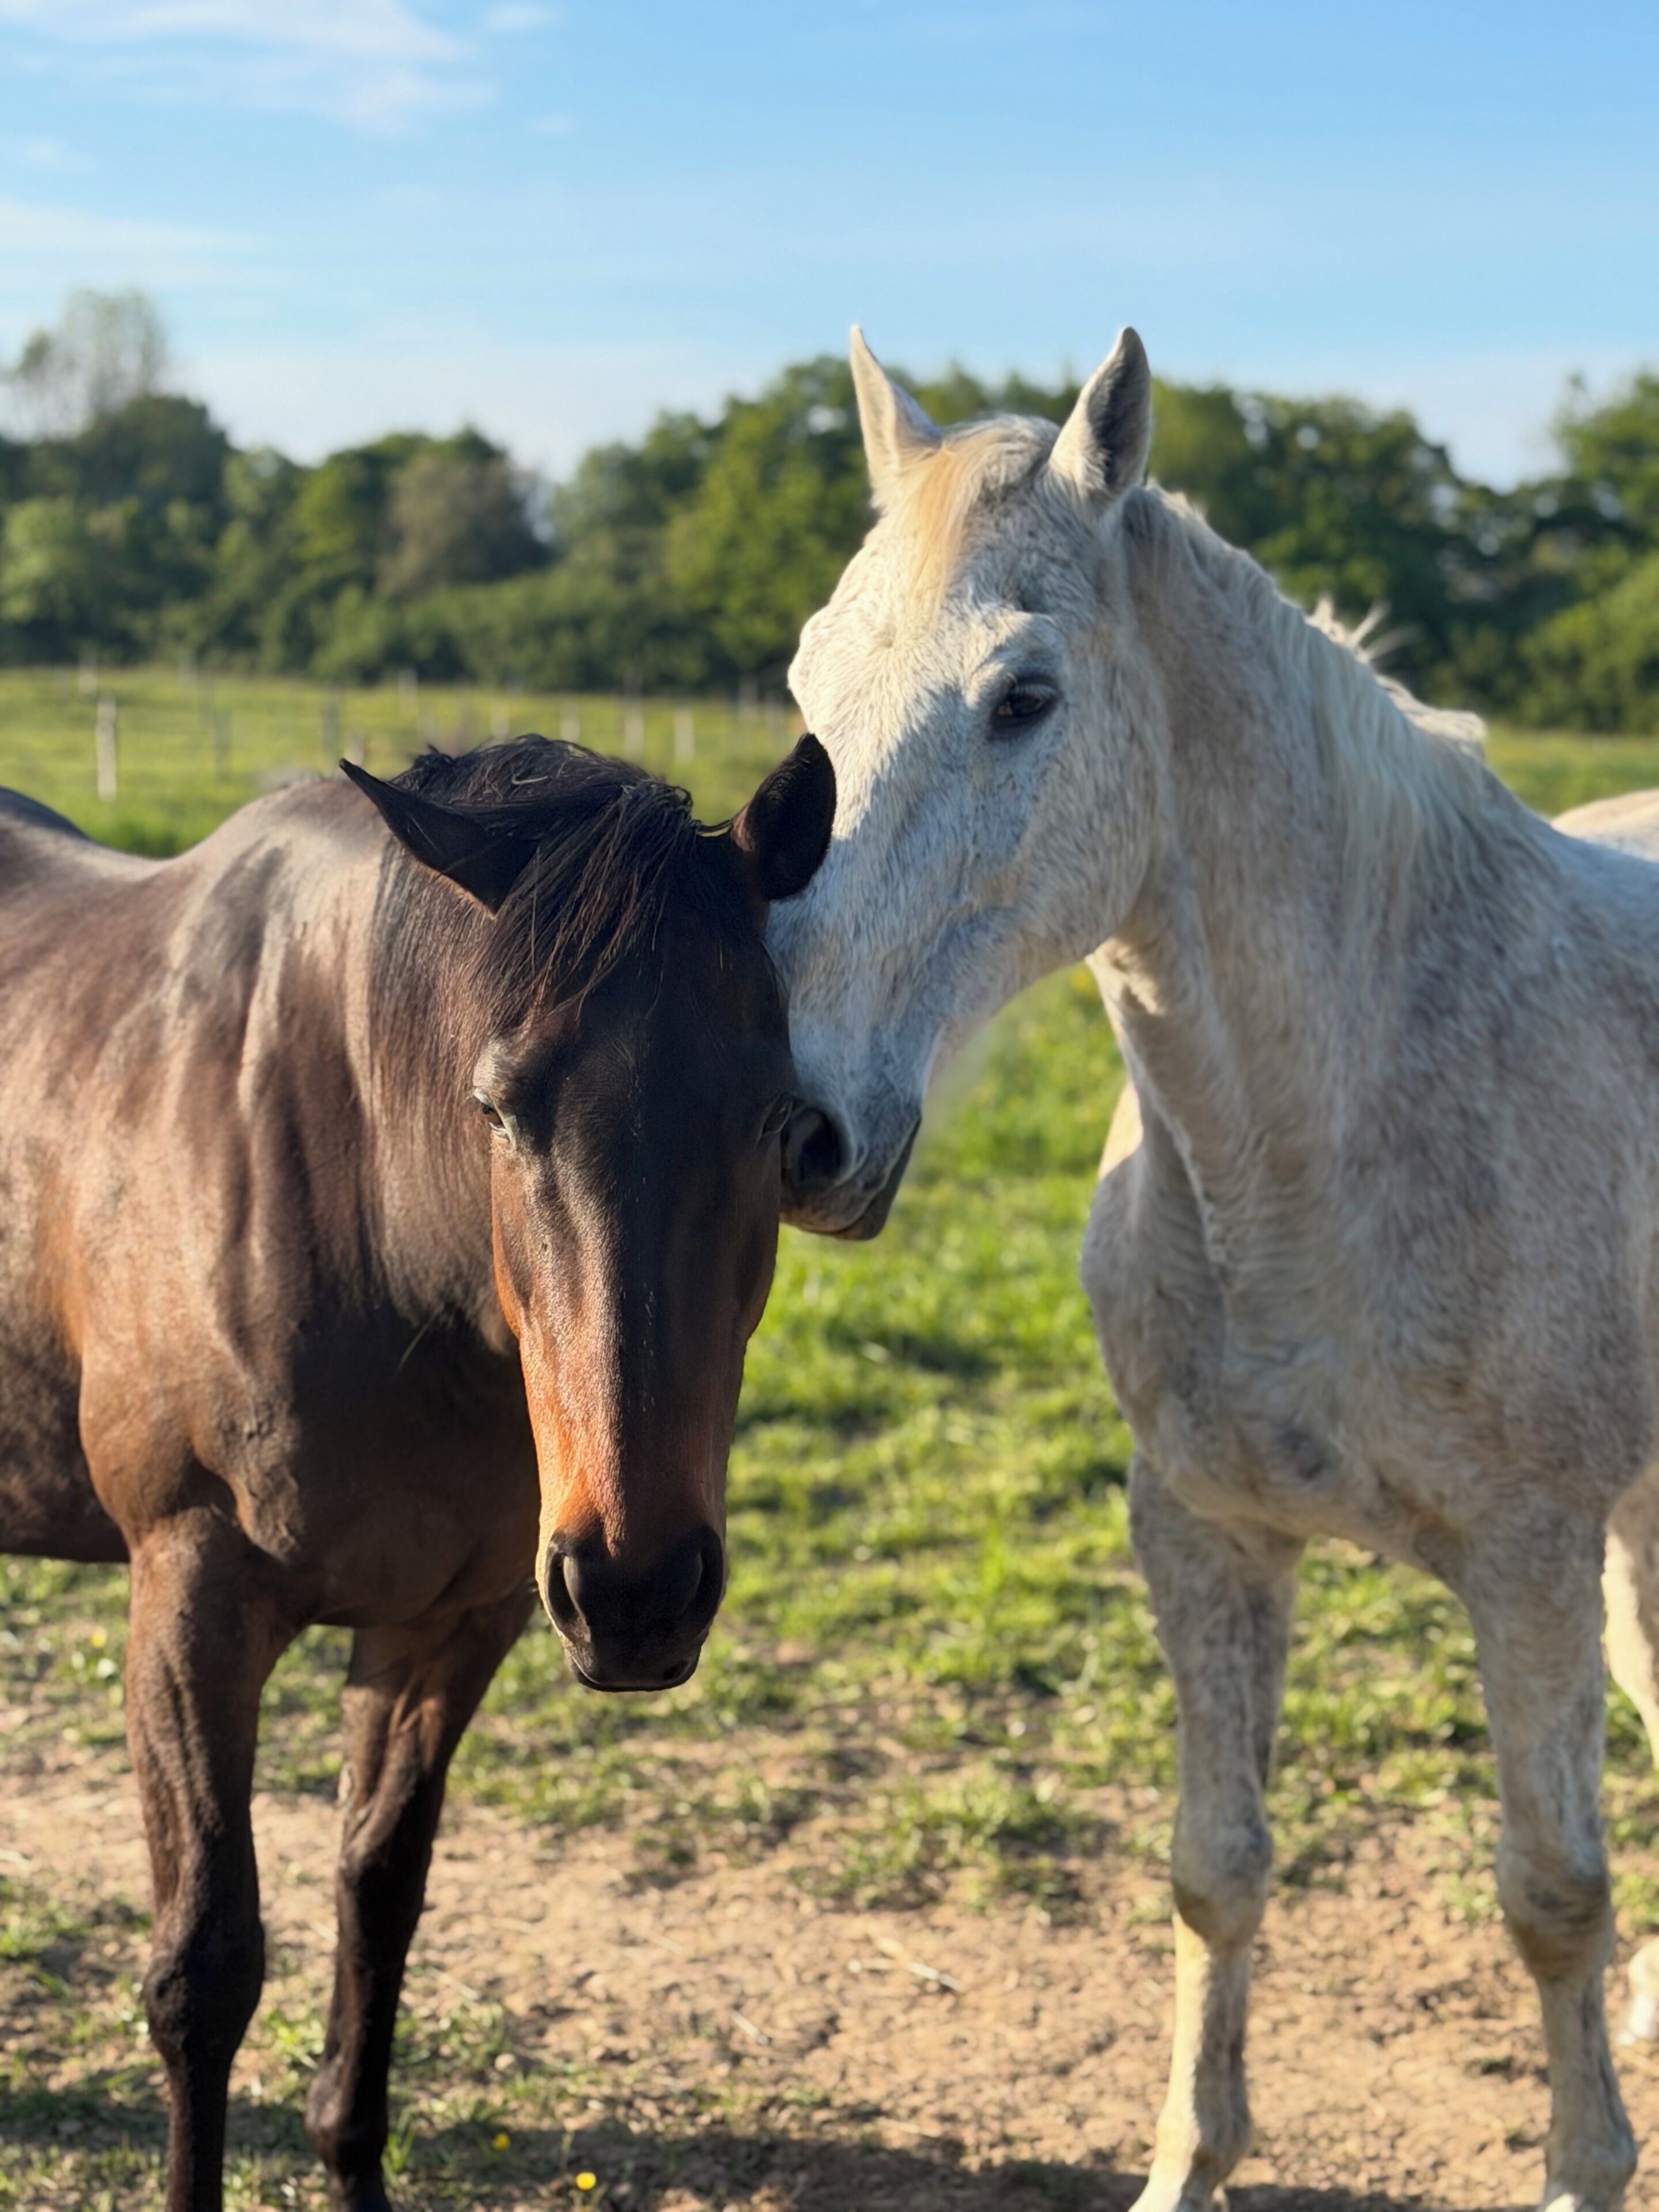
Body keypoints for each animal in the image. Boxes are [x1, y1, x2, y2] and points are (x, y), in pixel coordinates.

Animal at [0, 729, 835, 2212]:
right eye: (499, 1107)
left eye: (777, 1118)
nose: (637, 1591)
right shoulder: (191, 1601)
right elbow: (203, 1970)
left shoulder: (448, 1623)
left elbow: (378, 1897)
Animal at [768, 326, 1659, 2211]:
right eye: (806, 677)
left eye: (1023, 696)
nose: (782, 1120)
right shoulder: (1202, 1532)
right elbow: (1216, 1869)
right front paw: (1190, 2162)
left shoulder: (1529, 1561)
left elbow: (1551, 1892)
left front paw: (1584, 2163)